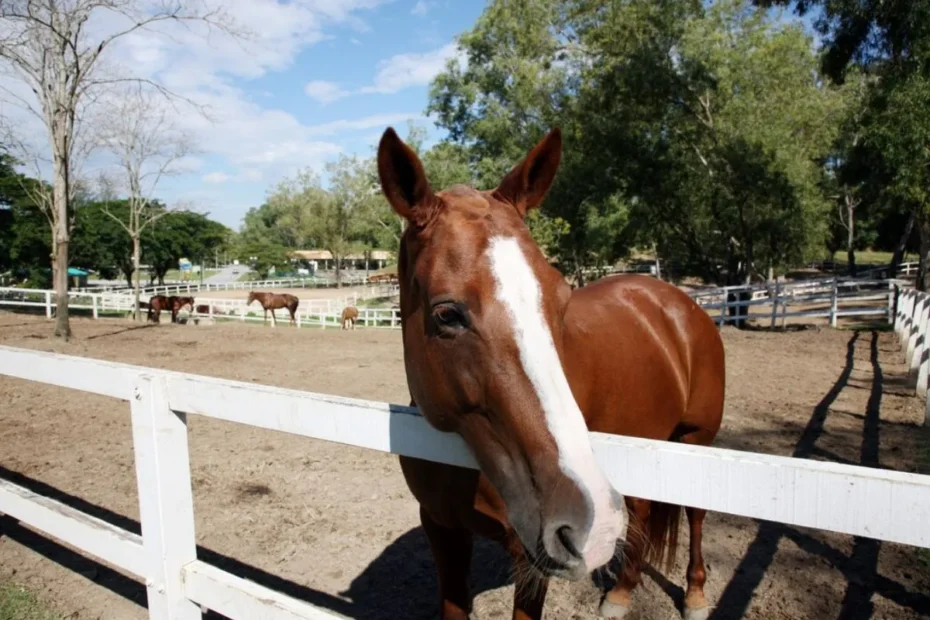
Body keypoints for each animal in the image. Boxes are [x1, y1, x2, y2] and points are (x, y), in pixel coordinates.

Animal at [376, 127, 724, 620]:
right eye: (446, 314)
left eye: (562, 298)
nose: (590, 527)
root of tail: (677, 300)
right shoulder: (442, 529)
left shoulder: (530, 554)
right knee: (641, 512)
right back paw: (621, 593)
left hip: (697, 440)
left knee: (694, 515)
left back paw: (694, 594)